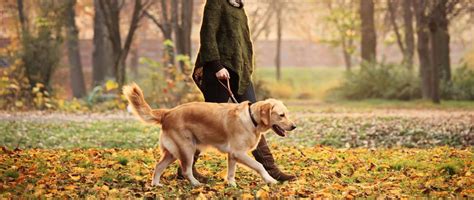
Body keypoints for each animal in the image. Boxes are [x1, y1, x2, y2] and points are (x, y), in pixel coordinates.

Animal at [122, 83, 296, 187]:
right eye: (281, 115)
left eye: (287, 114)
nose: (294, 126)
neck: (251, 118)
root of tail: (168, 112)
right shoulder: (238, 152)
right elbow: (259, 165)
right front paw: (270, 180)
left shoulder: (232, 155)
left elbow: (231, 172)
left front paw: (231, 184)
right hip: (187, 148)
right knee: (186, 170)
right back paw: (196, 184)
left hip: (173, 152)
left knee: (158, 166)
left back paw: (156, 184)